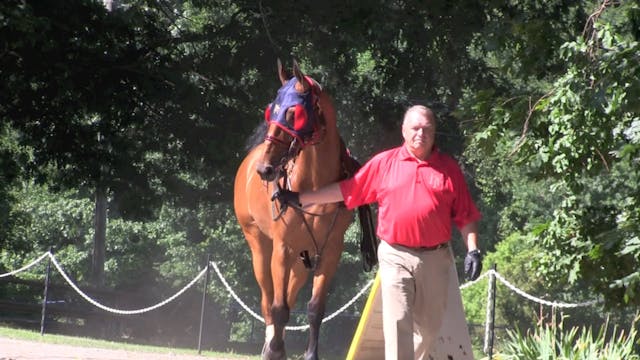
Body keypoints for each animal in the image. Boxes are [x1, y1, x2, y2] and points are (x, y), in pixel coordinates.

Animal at [234, 60, 376, 358]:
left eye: (293, 113)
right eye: (271, 110)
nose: (265, 169)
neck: (314, 184)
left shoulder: (330, 251)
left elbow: (314, 309)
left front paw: (310, 353)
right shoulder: (282, 248)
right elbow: (278, 308)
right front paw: (274, 349)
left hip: (302, 256)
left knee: (289, 291)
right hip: (260, 246)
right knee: (268, 299)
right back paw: (270, 343)